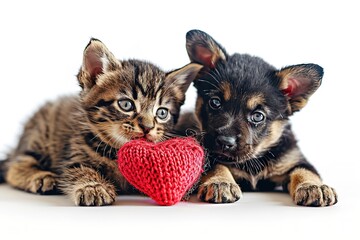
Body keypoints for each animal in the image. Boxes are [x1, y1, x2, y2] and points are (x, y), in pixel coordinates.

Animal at [0, 38, 202, 205]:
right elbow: (80, 170)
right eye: (126, 104)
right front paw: (93, 187)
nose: (147, 127)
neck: (117, 150)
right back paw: (42, 177)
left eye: (161, 113)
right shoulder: (75, 155)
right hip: (41, 133)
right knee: (15, 164)